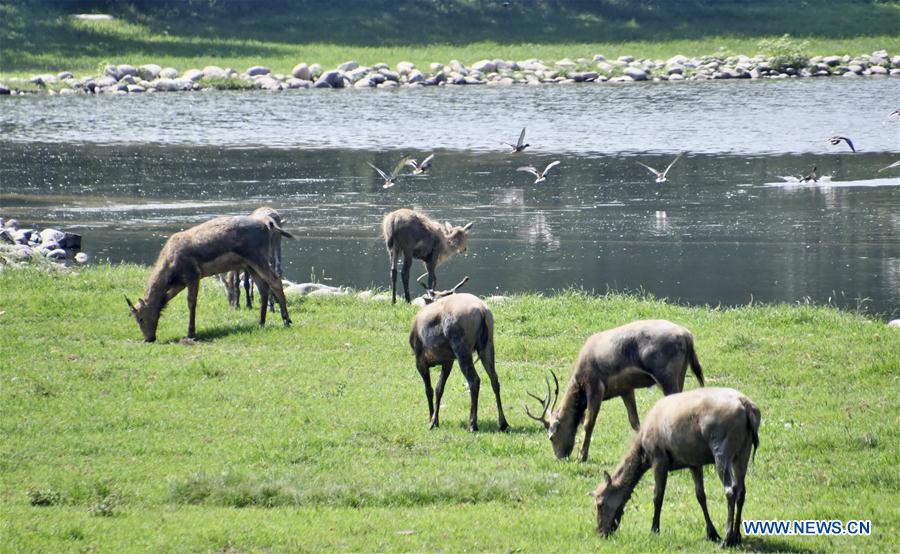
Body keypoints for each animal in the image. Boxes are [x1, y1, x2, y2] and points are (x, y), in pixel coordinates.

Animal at [126, 212, 294, 338]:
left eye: (140, 318)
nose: (148, 339)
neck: (170, 272)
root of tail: (267, 224)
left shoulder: (193, 274)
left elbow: (191, 302)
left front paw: (191, 332)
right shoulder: (181, 282)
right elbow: (166, 298)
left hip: (257, 256)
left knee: (275, 280)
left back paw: (286, 320)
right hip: (249, 264)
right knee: (263, 287)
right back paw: (260, 322)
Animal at [408, 292, 506, 430]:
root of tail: (482, 311)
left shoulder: (420, 359)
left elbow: (429, 390)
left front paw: (431, 420)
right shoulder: (448, 361)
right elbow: (439, 389)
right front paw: (435, 420)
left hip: (461, 347)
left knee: (474, 380)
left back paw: (472, 424)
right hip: (487, 346)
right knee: (495, 380)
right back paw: (503, 423)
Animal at [524, 316, 708, 460]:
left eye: (552, 437)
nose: (560, 456)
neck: (579, 383)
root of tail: (687, 336)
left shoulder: (595, 387)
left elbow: (589, 423)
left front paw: (582, 456)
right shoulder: (625, 389)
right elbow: (635, 422)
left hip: (666, 376)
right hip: (680, 374)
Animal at [596, 386, 764, 544]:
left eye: (600, 504)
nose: (601, 532)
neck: (643, 454)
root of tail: (747, 406)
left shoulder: (659, 459)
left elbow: (657, 496)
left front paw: (654, 529)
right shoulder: (694, 462)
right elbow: (700, 495)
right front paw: (711, 533)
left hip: (722, 449)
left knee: (731, 489)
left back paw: (727, 538)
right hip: (743, 452)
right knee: (741, 490)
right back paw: (737, 535)